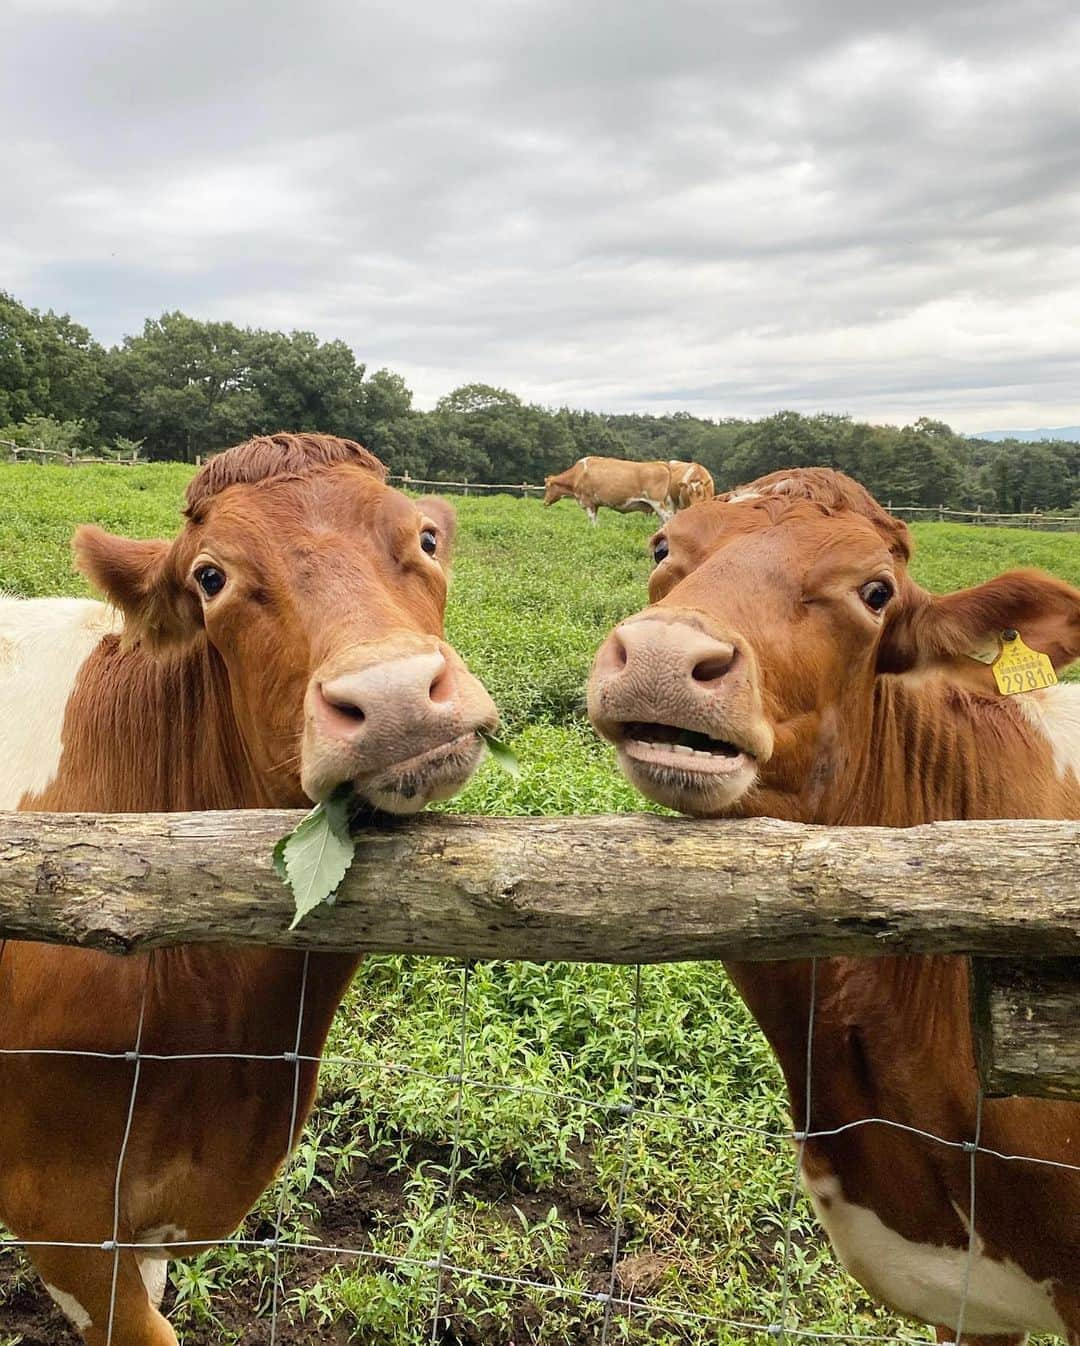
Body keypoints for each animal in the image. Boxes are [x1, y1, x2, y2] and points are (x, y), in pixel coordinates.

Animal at [538, 454, 673, 522]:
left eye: (547, 487)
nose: (544, 502)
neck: (578, 473)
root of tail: (661, 464)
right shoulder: (595, 504)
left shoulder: (588, 502)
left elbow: (591, 519)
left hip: (657, 502)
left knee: (667, 517)